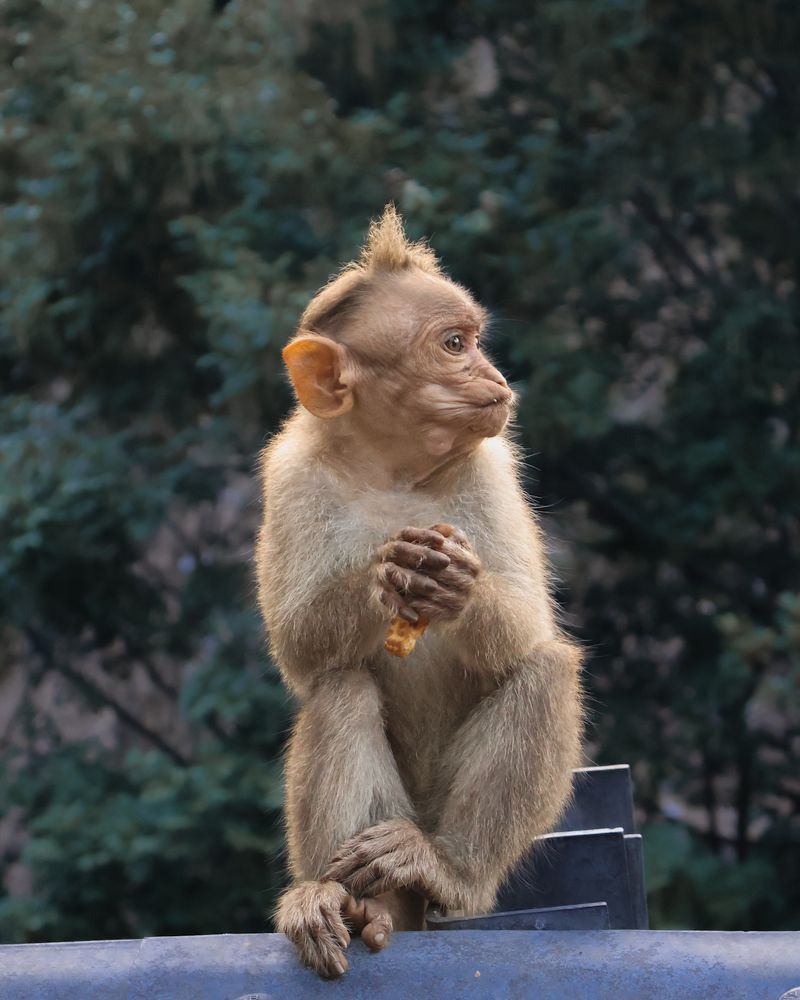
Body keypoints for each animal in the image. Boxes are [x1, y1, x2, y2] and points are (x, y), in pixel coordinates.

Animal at [255, 206, 583, 978]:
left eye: (473, 341)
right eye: (453, 345)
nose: (494, 375)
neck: (393, 472)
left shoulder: (491, 466)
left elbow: (526, 629)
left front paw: (458, 586)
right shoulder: (291, 474)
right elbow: (300, 650)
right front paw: (385, 579)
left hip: (438, 825)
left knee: (545, 666)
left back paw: (445, 870)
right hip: (382, 821)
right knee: (341, 686)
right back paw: (348, 903)